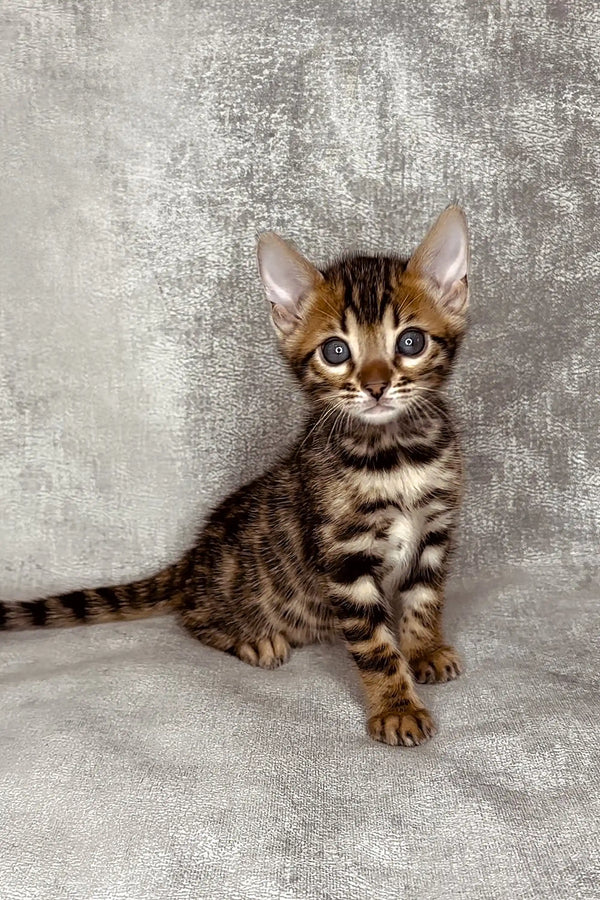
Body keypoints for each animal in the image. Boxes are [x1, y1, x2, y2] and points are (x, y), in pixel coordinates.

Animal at [0, 209, 468, 744]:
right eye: (335, 352)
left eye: (410, 342)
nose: (375, 386)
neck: (396, 454)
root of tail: (192, 558)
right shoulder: (345, 557)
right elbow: (373, 645)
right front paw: (396, 705)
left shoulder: (434, 530)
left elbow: (424, 600)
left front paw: (424, 649)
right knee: (193, 617)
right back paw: (252, 640)